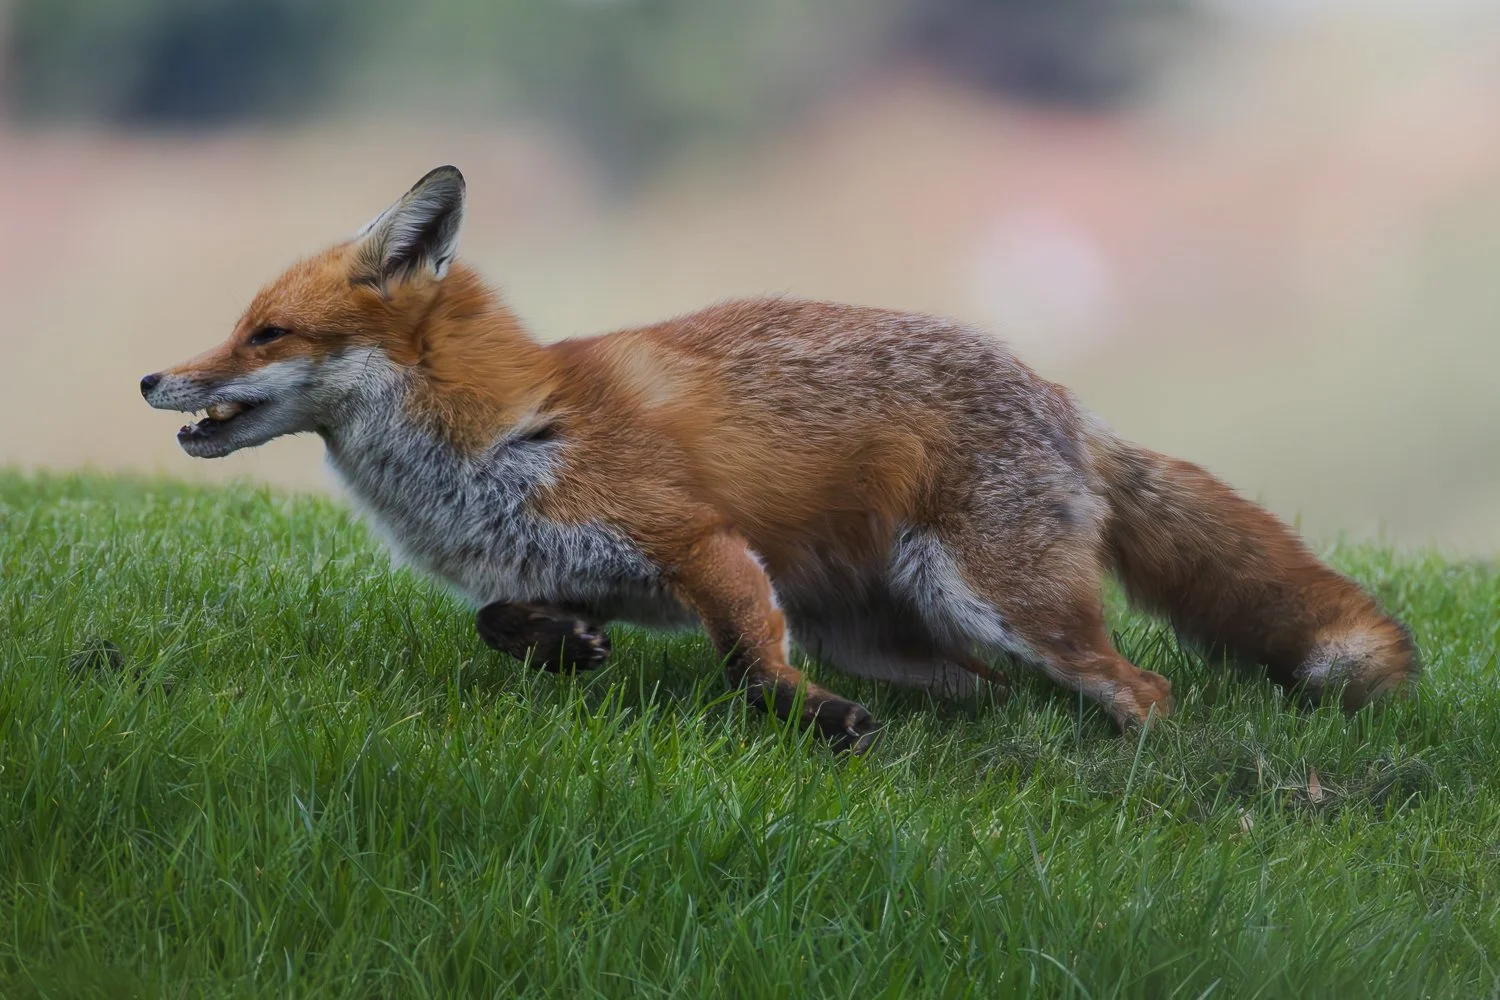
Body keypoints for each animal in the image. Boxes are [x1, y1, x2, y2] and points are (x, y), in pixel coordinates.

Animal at [141, 165, 1417, 752]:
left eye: (265, 334)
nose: (153, 381)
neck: (492, 436)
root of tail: (1062, 395)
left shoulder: (698, 538)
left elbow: (749, 665)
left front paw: (817, 721)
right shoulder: (558, 566)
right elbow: (501, 621)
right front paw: (566, 651)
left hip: (1004, 602)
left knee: (1142, 687)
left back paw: (1132, 759)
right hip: (902, 628)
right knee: (993, 691)